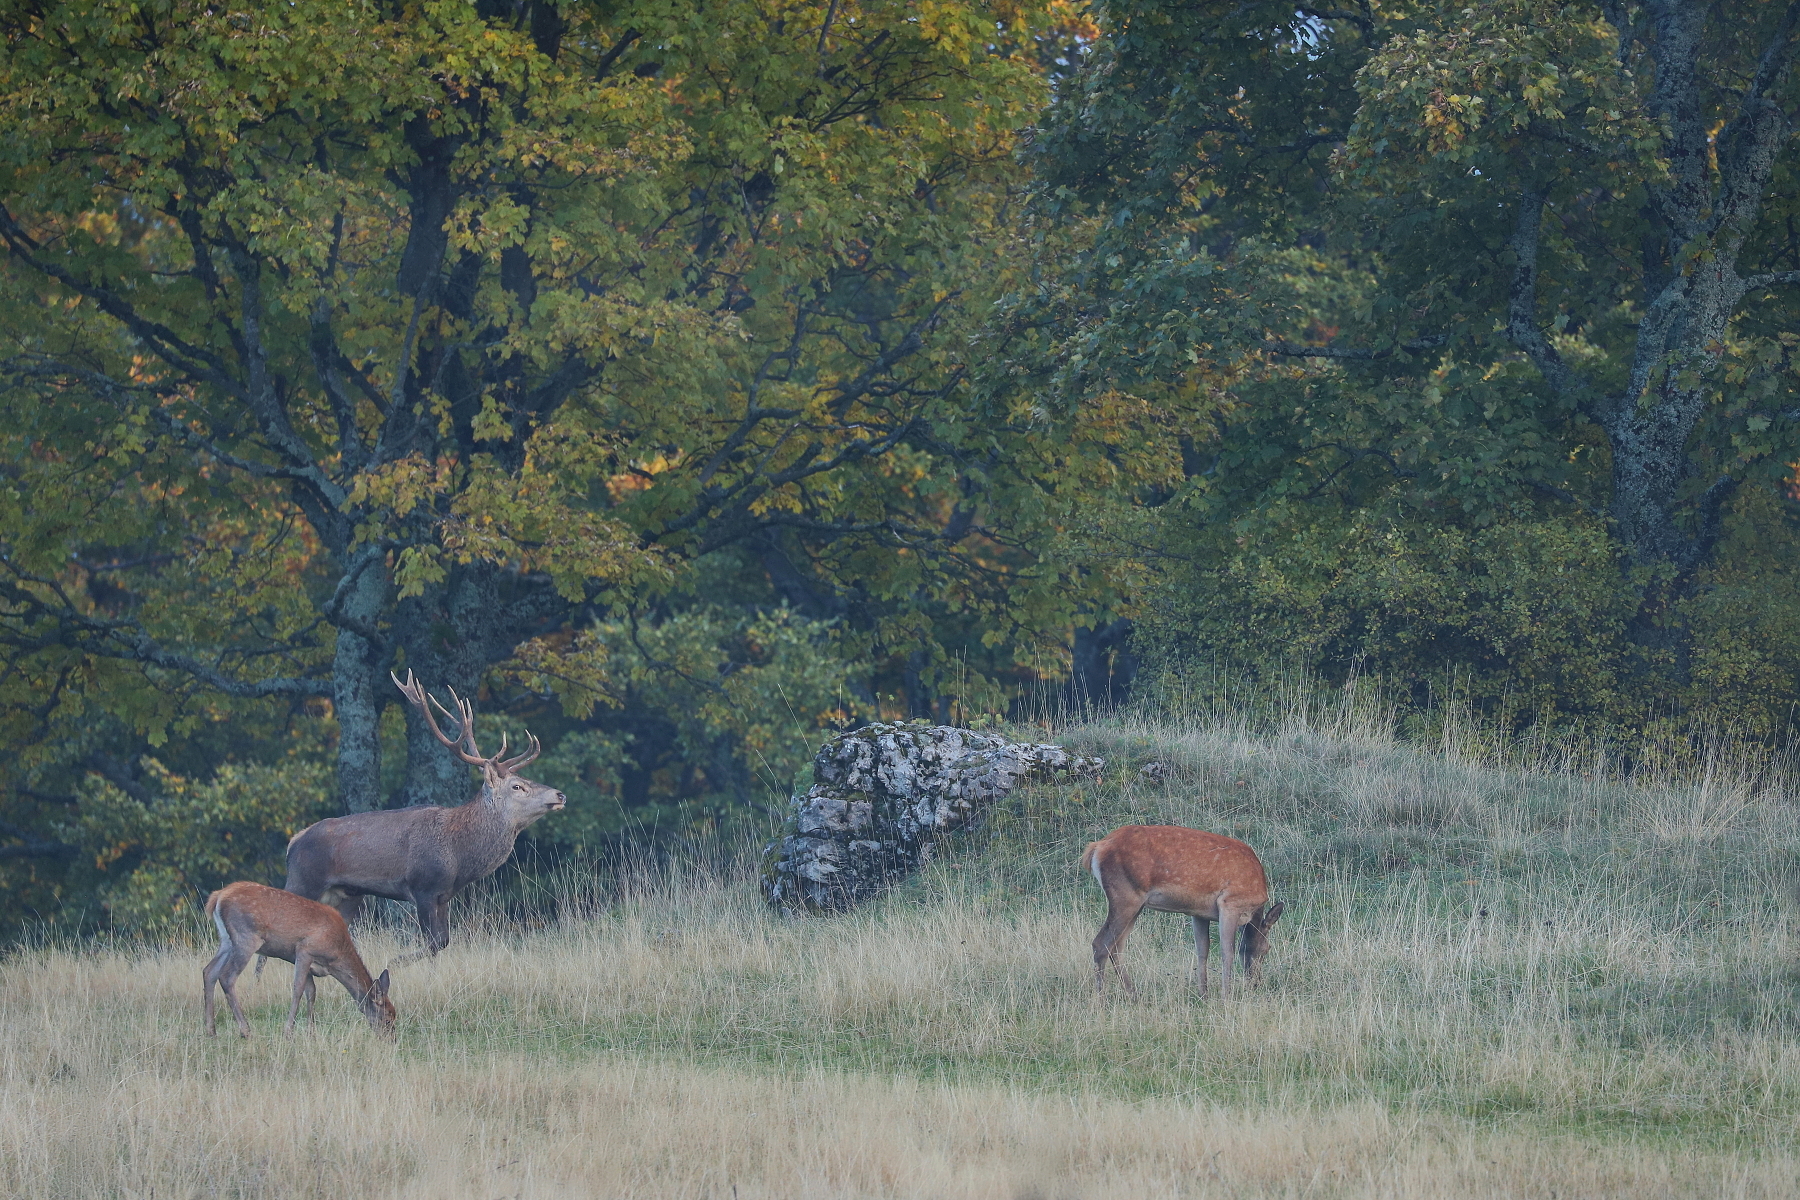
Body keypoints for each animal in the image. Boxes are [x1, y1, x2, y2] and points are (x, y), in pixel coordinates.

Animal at [204, 877, 394, 1036]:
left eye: (394, 1015)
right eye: (387, 1019)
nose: (391, 1040)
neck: (335, 956)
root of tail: (217, 897)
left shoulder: (307, 962)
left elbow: (311, 991)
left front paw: (311, 1031)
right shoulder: (305, 950)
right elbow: (298, 989)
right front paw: (288, 1031)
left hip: (227, 941)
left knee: (209, 971)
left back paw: (211, 1031)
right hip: (246, 937)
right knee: (226, 977)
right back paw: (245, 1030)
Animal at [1072, 827, 1288, 993]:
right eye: (1267, 949)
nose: (1255, 983)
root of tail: (1095, 848)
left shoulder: (1199, 913)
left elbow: (1203, 950)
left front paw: (1204, 995)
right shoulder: (1230, 903)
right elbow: (1228, 952)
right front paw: (1226, 997)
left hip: (1135, 904)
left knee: (1117, 946)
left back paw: (1133, 994)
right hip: (1124, 895)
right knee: (1101, 944)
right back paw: (1102, 999)